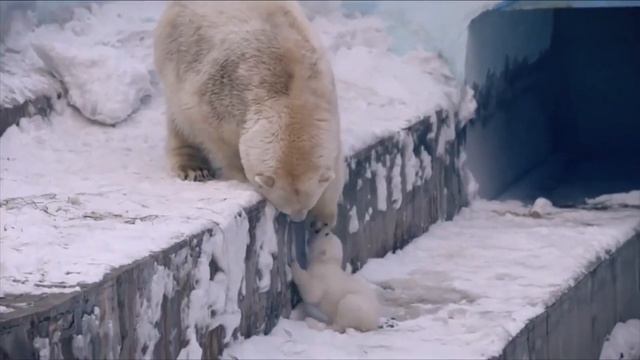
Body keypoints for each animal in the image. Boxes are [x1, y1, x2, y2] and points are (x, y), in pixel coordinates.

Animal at [154, 2, 344, 228]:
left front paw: (324, 219)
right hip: (177, 50)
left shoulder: (327, 104)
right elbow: (213, 135)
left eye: (307, 204)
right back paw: (193, 169)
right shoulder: (219, 94)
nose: (298, 218)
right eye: (286, 205)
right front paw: (240, 175)